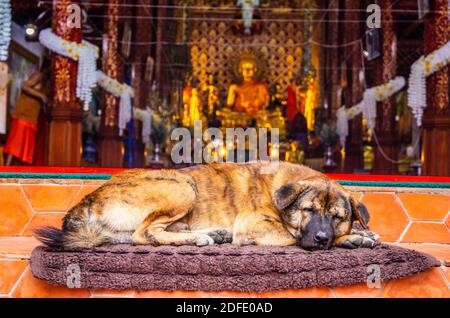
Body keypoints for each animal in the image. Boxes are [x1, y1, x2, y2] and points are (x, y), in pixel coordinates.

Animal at [36, 163, 380, 250]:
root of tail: (90, 198)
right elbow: (295, 236)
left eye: (337, 216)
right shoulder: (256, 227)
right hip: (180, 185)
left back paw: (212, 234)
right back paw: (203, 237)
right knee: (144, 234)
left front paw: (360, 234)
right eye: (308, 211)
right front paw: (352, 237)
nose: (322, 238)